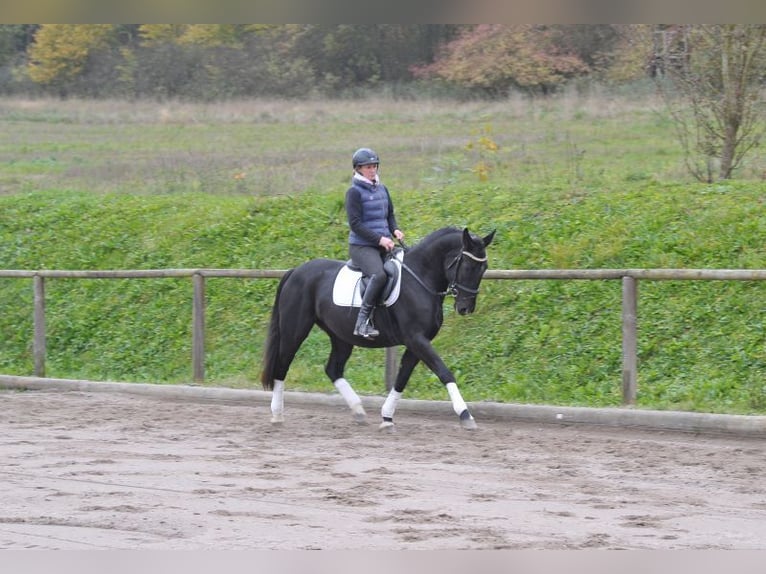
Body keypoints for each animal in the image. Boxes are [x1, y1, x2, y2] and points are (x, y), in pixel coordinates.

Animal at [260, 227, 496, 430]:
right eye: (467, 266)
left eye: (483, 268)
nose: (465, 308)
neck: (420, 278)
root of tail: (295, 271)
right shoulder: (416, 339)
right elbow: (444, 371)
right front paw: (465, 414)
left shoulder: (417, 342)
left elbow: (402, 378)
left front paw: (387, 417)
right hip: (294, 330)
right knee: (282, 366)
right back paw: (277, 414)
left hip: (341, 336)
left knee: (333, 369)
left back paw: (358, 411)